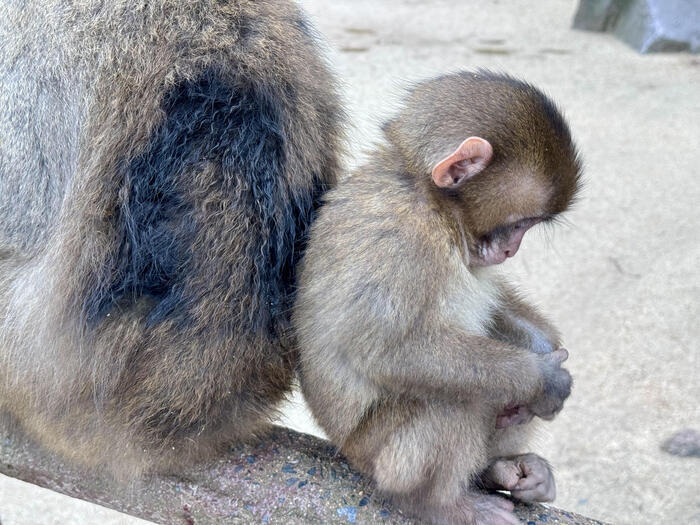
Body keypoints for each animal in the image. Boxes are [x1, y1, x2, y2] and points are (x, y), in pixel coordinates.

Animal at [292, 70, 584, 524]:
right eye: (521, 223)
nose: (511, 249)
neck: (431, 203)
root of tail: (347, 450)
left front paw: (543, 348)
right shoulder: (400, 240)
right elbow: (391, 352)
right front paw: (542, 378)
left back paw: (502, 469)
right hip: (382, 456)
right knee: (452, 398)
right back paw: (438, 504)